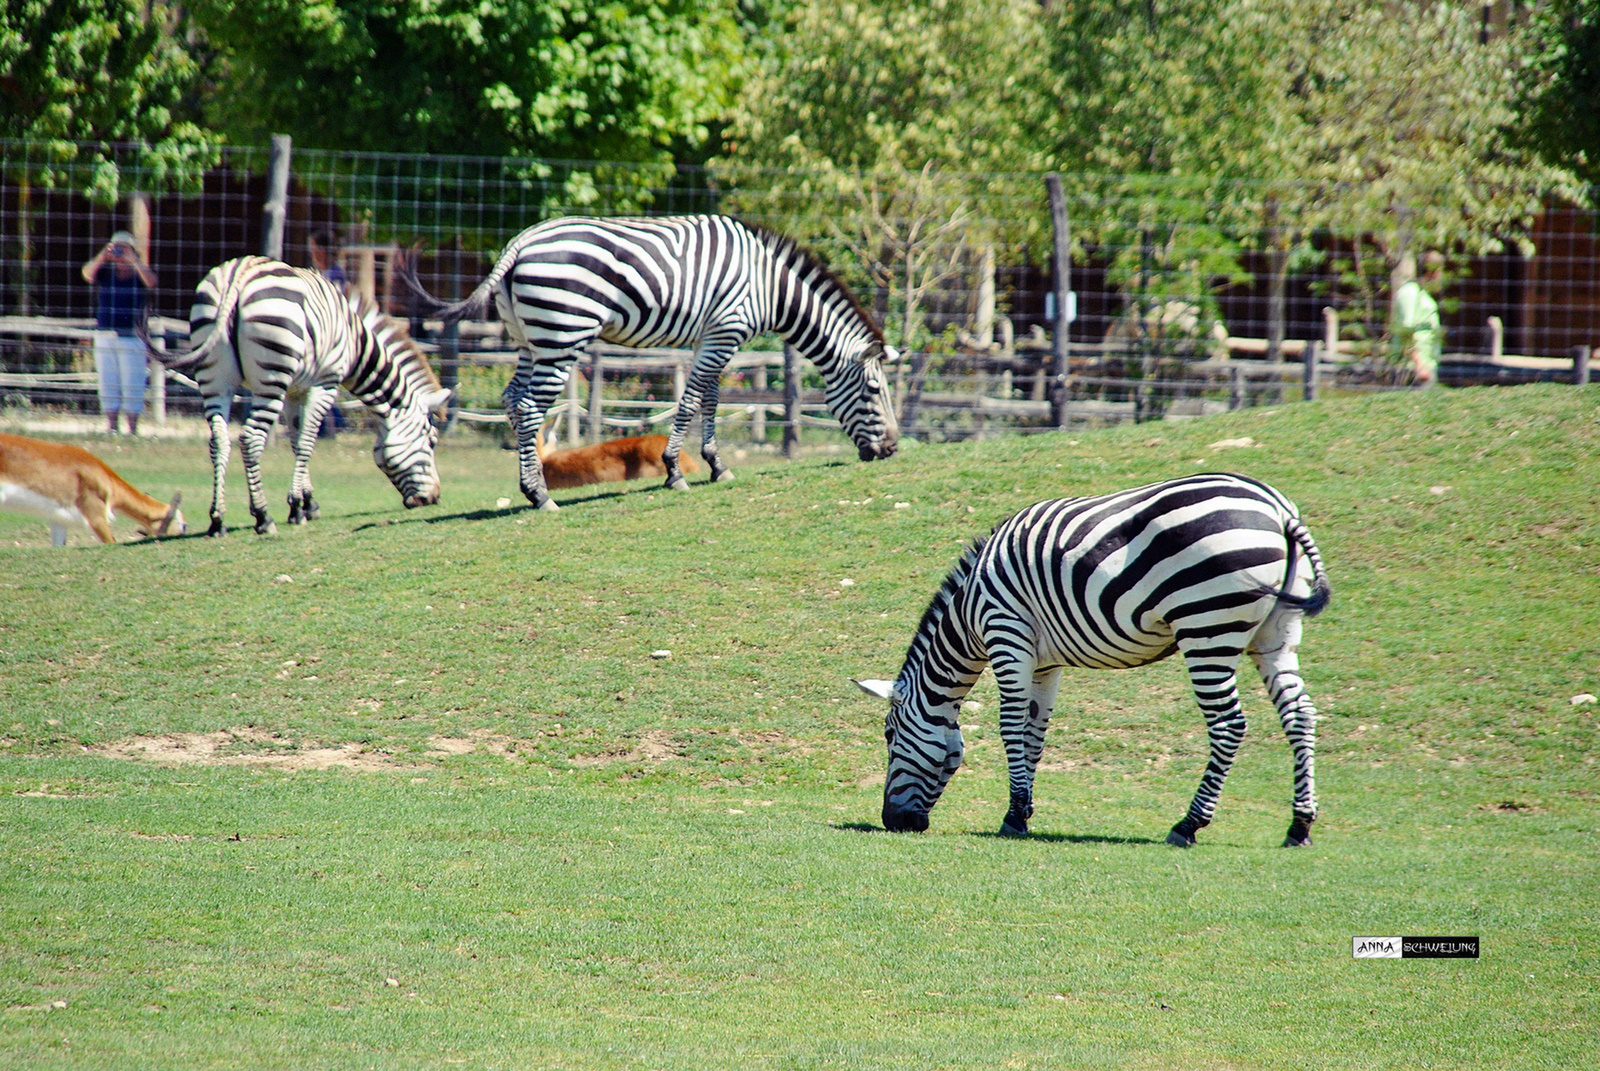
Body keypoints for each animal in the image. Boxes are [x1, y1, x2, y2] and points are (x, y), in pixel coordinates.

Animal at [151, 256, 451, 537]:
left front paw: (307, 503)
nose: (434, 498)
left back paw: (218, 520)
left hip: (215, 377)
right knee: (250, 439)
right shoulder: (325, 383)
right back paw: (263, 516)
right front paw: (296, 506)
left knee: (219, 441)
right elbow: (307, 442)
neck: (355, 343)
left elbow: (296, 441)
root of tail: (239, 272)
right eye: (432, 441)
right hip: (272, 377)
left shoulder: (295, 391)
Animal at [857, 470, 1331, 845]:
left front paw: (1012, 814)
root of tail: (1278, 509)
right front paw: (1022, 815)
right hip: (1275, 636)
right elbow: (1035, 733)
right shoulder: (1044, 662)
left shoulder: (1006, 632)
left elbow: (1009, 726)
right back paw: (1299, 826)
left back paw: (1188, 825)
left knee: (1229, 725)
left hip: (1206, 626)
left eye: (888, 734)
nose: (894, 822)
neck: (970, 607)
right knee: (1300, 716)